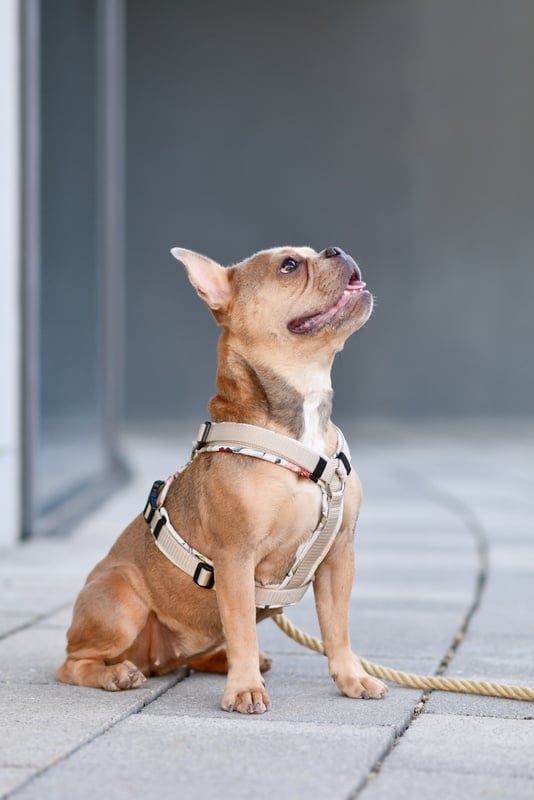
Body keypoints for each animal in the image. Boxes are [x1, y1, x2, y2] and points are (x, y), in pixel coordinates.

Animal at [56, 244, 388, 712]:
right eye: (289, 265)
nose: (335, 249)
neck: (297, 423)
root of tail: (155, 660)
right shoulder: (235, 559)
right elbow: (243, 625)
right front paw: (245, 689)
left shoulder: (338, 555)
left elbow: (336, 627)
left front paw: (351, 677)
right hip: (120, 603)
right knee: (73, 663)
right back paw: (115, 673)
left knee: (197, 653)